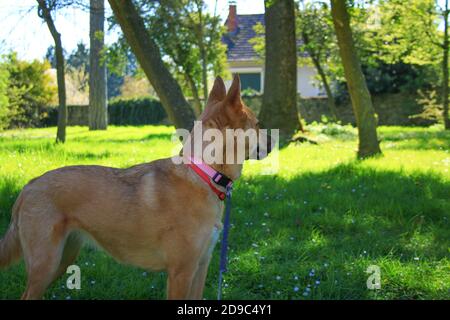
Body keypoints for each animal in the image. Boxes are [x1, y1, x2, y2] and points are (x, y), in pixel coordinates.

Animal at [0, 75, 270, 300]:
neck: (202, 173)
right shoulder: (181, 272)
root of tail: (28, 186)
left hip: (62, 260)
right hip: (45, 264)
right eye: (257, 124)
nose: (274, 141)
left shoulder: (201, 266)